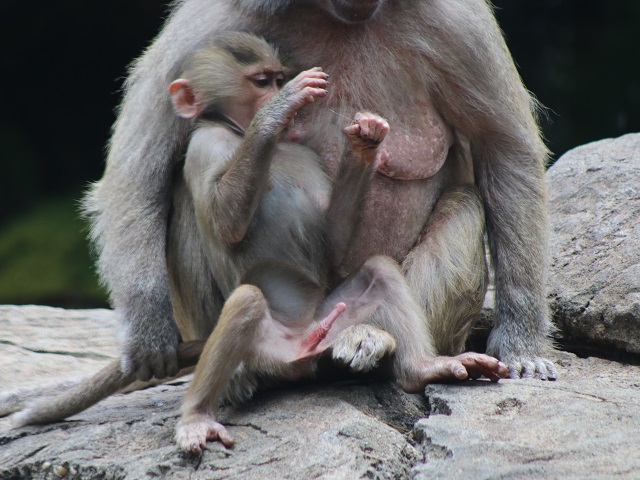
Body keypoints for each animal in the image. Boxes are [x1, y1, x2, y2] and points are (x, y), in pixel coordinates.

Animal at [9, 33, 509, 453]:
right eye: (262, 82)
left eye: (276, 76)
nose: (280, 93)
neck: (238, 134)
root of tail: (302, 343)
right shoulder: (203, 146)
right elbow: (226, 222)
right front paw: (273, 116)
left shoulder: (307, 154)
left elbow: (333, 246)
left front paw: (364, 142)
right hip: (266, 354)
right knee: (246, 302)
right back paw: (197, 416)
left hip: (333, 322)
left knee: (380, 271)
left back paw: (423, 367)